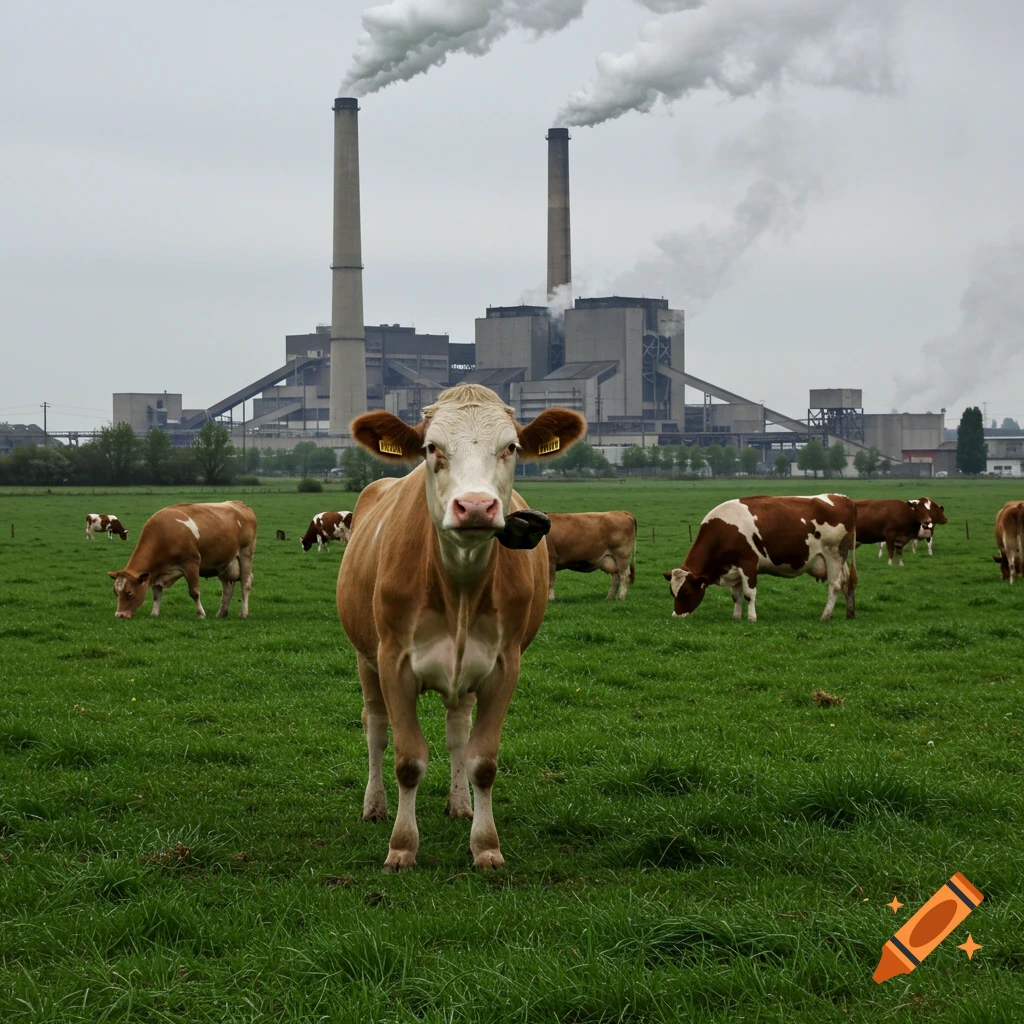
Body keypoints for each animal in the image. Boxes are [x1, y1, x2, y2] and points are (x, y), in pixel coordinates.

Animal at [108, 501, 257, 619]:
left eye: (129, 592)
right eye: (116, 592)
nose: (120, 615)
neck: (164, 535)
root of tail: (240, 504)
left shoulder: (191, 565)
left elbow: (194, 592)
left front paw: (201, 614)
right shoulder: (156, 573)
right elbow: (156, 594)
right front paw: (155, 613)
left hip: (245, 553)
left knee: (245, 583)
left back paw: (243, 613)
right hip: (224, 563)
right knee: (227, 587)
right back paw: (221, 613)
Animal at [337, 383, 586, 872]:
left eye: (511, 447)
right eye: (432, 448)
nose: (475, 506)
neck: (459, 588)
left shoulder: (504, 666)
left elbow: (481, 760)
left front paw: (486, 845)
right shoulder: (393, 662)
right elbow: (408, 760)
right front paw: (401, 847)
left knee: (456, 733)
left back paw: (460, 805)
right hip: (364, 658)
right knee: (375, 728)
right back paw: (374, 806)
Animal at [662, 493, 857, 622]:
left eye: (686, 592)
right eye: (672, 592)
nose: (676, 615)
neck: (723, 531)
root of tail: (843, 498)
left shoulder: (748, 564)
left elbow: (749, 594)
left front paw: (751, 618)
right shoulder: (733, 568)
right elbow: (736, 596)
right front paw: (736, 616)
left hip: (833, 555)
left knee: (834, 586)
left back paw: (825, 615)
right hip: (841, 558)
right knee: (847, 583)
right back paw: (849, 613)